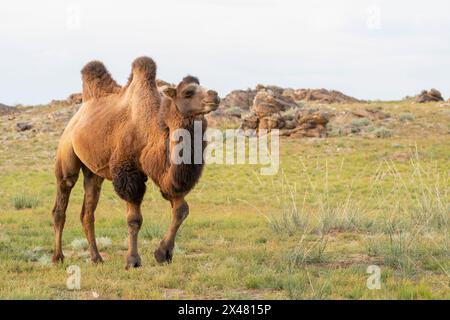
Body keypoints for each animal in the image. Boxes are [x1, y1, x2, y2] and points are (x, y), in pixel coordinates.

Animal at [51, 56, 221, 268]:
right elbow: (134, 219)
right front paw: (133, 261)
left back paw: (96, 258)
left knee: (87, 213)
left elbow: (181, 209)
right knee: (62, 201)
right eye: (188, 92)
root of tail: (76, 117)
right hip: (66, 154)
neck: (151, 131)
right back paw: (58, 257)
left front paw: (163, 253)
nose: (215, 95)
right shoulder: (128, 172)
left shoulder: (164, 174)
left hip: (94, 172)